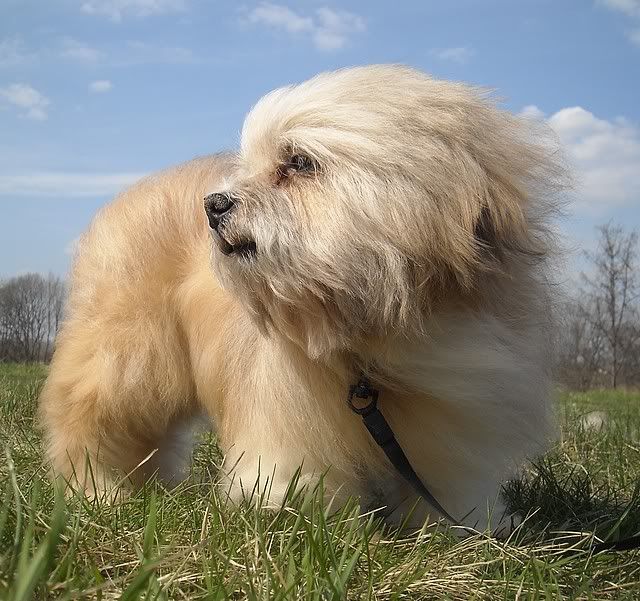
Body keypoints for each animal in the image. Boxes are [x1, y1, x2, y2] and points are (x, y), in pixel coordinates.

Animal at [39, 65, 563, 530]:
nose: (214, 205)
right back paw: (100, 493)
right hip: (127, 358)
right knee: (90, 425)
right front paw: (296, 516)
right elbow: (295, 471)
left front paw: (456, 527)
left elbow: (449, 482)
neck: (371, 331)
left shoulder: (454, 418)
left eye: (299, 163)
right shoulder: (289, 413)